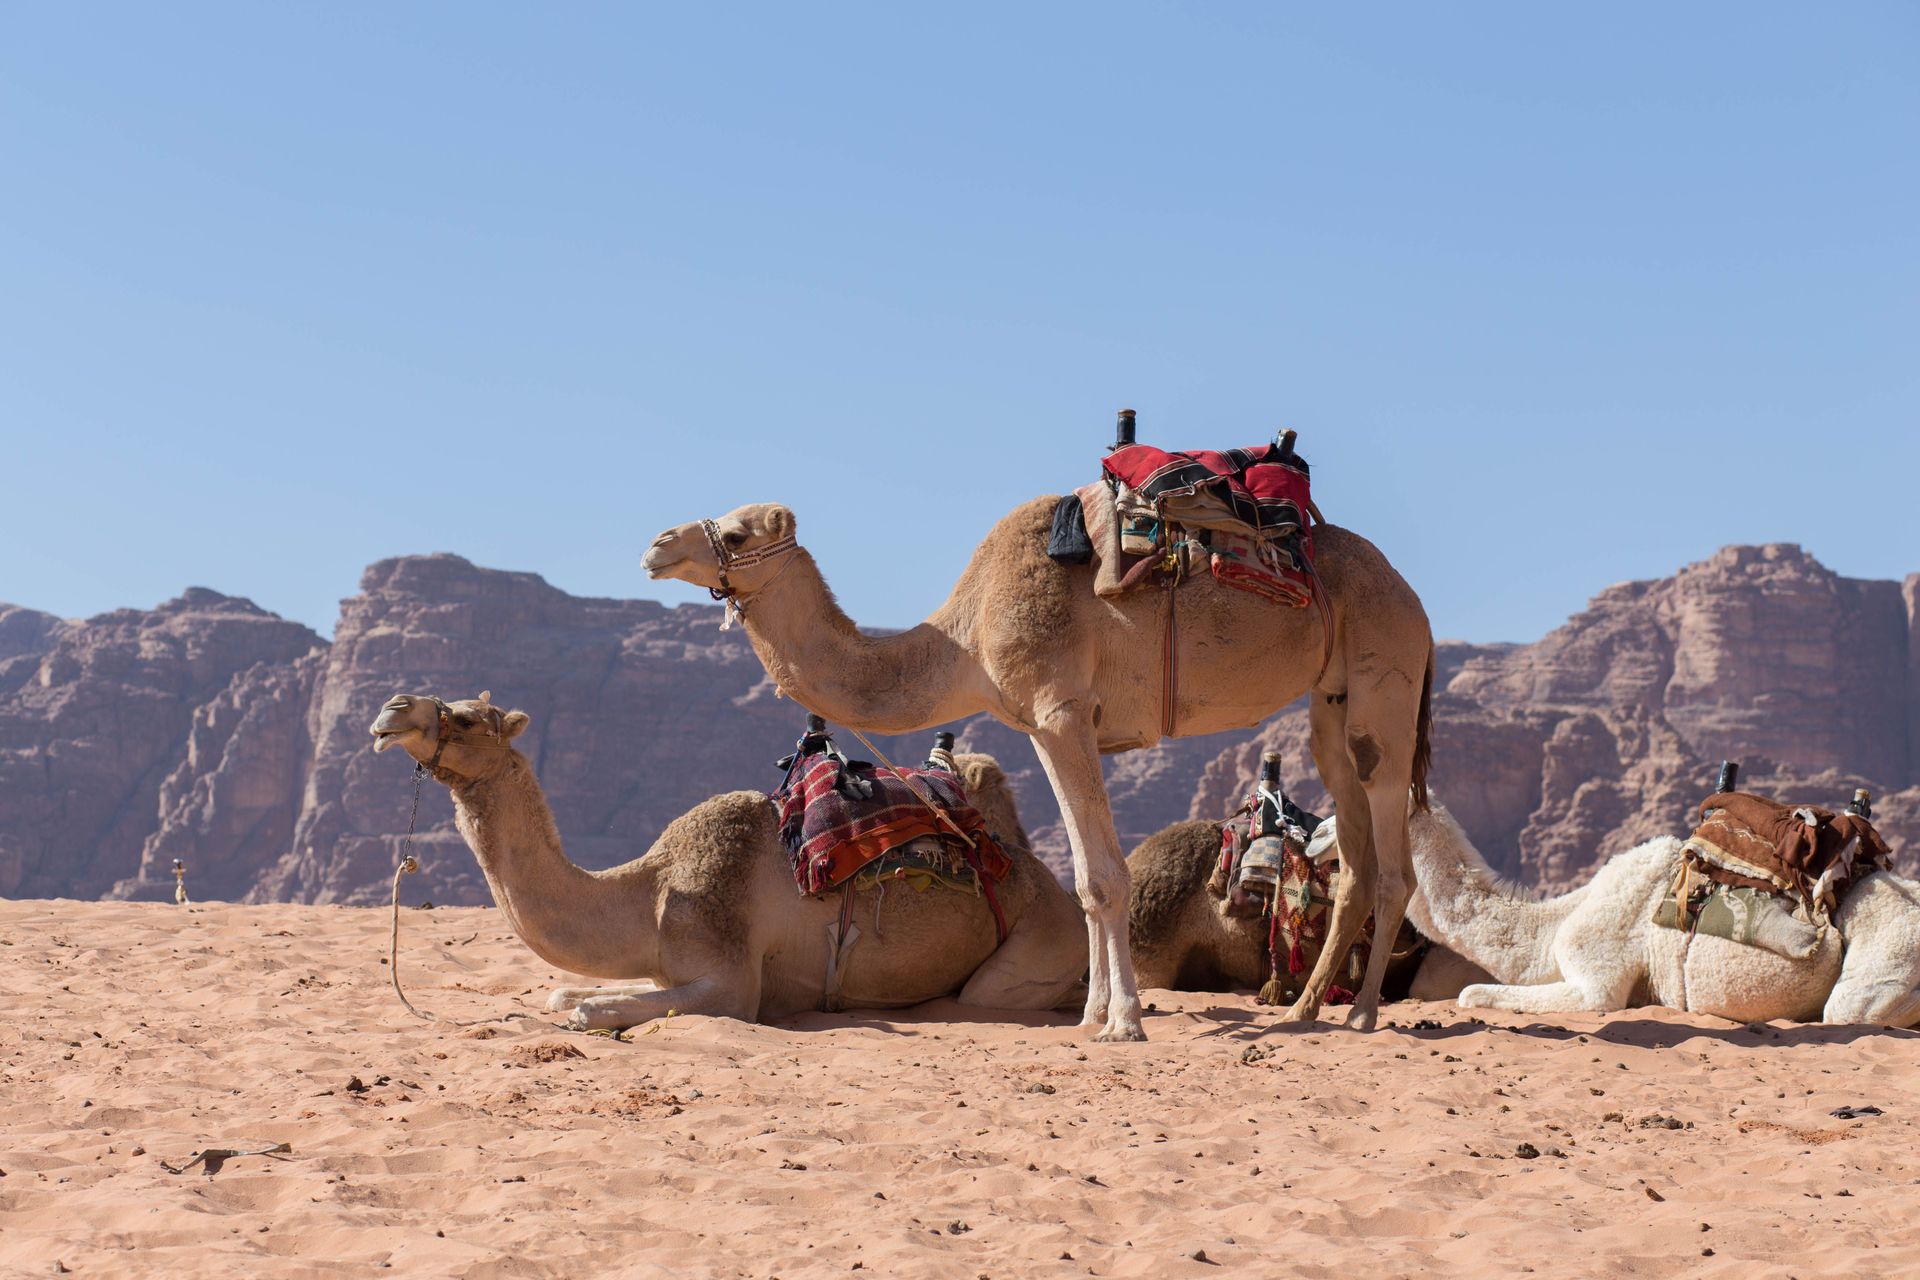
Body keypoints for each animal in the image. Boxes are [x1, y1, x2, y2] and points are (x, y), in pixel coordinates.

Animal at [369, 692, 1086, 1030]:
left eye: (467, 719)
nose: (391, 710)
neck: (652, 891)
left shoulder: (732, 980)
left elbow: (592, 1010)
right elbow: (567, 990)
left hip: (1034, 947)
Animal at [642, 497, 1434, 1040]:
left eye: (737, 535)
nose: (655, 545)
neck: (963, 637)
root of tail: (1413, 597)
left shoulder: (1061, 711)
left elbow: (1108, 876)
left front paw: (1125, 1023)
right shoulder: (1040, 728)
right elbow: (1085, 878)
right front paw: (1090, 1017)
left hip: (1387, 677)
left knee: (1395, 852)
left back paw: (1362, 1014)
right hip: (1330, 704)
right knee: (1355, 850)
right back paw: (1305, 1010)